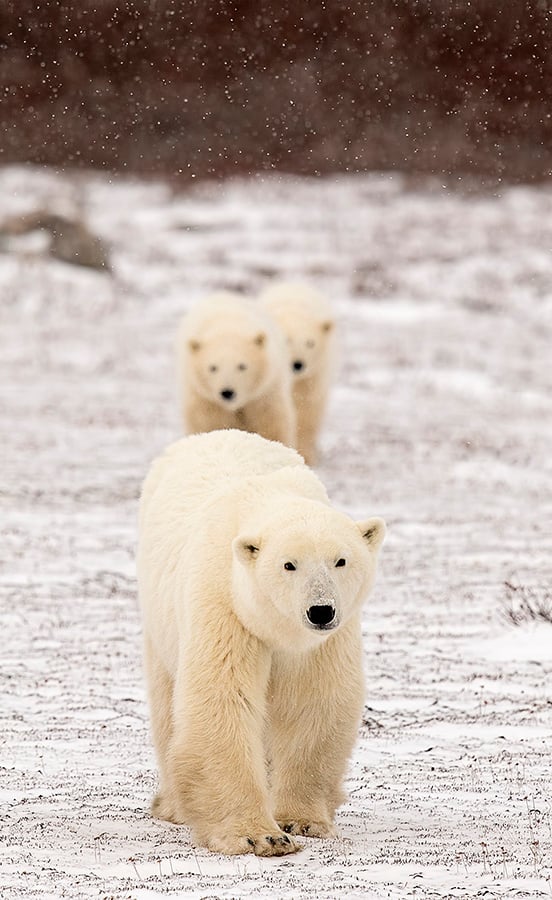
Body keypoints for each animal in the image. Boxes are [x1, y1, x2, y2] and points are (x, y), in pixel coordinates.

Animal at [138, 428, 384, 856]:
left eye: (341, 560)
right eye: (289, 564)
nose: (321, 611)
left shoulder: (324, 644)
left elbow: (314, 701)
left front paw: (302, 820)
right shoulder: (227, 605)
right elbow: (222, 701)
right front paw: (259, 835)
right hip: (160, 621)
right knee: (168, 705)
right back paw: (172, 805)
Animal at [178, 294, 298, 448]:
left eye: (242, 366)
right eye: (213, 367)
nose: (227, 392)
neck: (228, 327)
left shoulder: (264, 394)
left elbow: (271, 423)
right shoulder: (206, 400)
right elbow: (209, 424)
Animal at [262, 282, 336, 464]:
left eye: (310, 343)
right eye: (287, 340)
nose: (297, 364)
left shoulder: (313, 376)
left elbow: (307, 411)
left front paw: (306, 455)